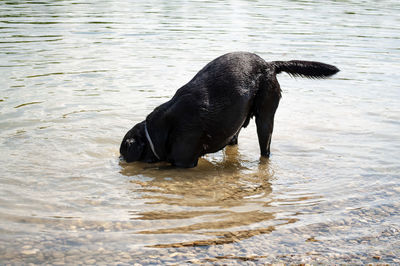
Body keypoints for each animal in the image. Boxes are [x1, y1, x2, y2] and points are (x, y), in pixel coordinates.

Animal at [119, 51, 338, 167]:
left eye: (123, 152)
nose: (119, 159)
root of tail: (269, 65)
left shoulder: (184, 162)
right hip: (236, 124)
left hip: (265, 119)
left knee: (265, 149)